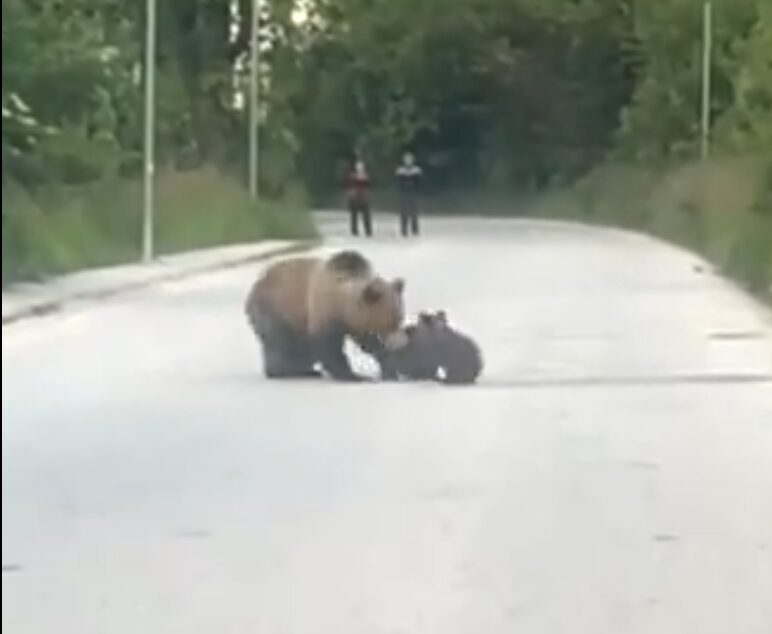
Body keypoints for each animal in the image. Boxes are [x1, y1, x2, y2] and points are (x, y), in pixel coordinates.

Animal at [246, 249, 404, 380]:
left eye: (400, 317)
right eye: (390, 321)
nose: (399, 344)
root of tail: (252, 291)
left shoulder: (358, 323)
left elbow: (369, 344)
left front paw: (389, 369)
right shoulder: (324, 313)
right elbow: (329, 348)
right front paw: (355, 376)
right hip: (277, 311)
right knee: (282, 344)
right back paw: (292, 371)